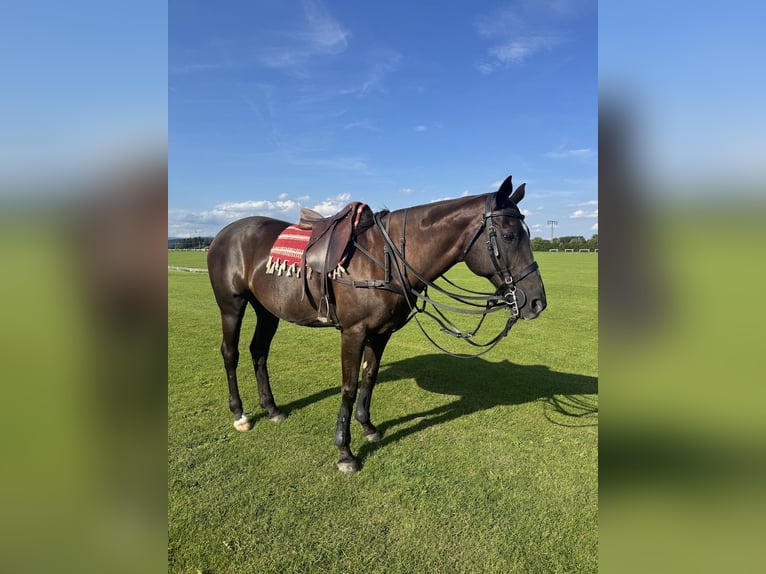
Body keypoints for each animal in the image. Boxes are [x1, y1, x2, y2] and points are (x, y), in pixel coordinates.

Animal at [207, 175, 547, 473]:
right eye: (509, 235)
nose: (536, 302)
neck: (386, 260)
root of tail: (223, 233)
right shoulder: (353, 332)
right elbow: (349, 386)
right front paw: (344, 452)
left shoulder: (381, 333)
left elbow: (369, 377)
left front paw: (368, 427)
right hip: (231, 305)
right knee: (230, 353)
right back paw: (239, 413)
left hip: (267, 310)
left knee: (259, 351)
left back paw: (272, 408)